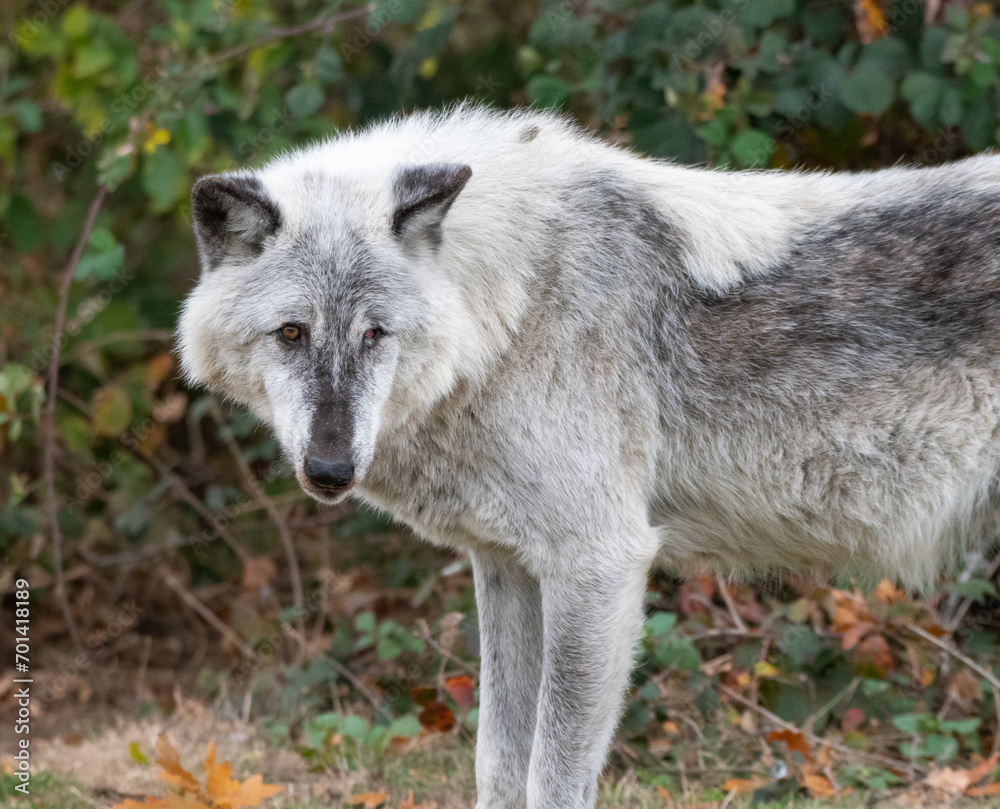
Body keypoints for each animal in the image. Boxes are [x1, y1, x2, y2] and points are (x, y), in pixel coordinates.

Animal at [178, 106, 1000, 809]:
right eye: (291, 333)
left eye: (376, 335)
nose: (330, 471)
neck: (511, 307)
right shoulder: (506, 565)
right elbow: (498, 765)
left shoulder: (599, 565)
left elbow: (552, 775)